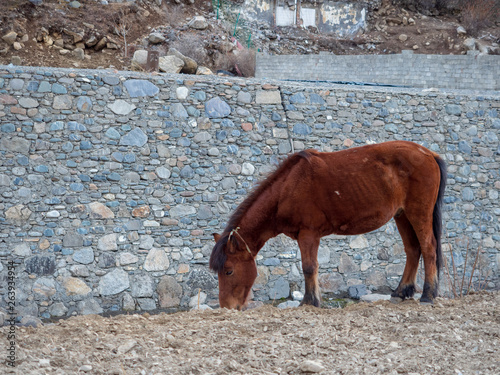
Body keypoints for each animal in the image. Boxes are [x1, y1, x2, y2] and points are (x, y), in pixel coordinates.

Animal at [209, 140, 448, 310]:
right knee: (413, 250)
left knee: (428, 248)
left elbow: (309, 267)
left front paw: (310, 301)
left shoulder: (308, 234)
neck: (288, 187)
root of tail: (429, 154)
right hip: (402, 215)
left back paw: (428, 295)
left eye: (229, 271)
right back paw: (401, 292)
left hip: (418, 213)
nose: (226, 307)